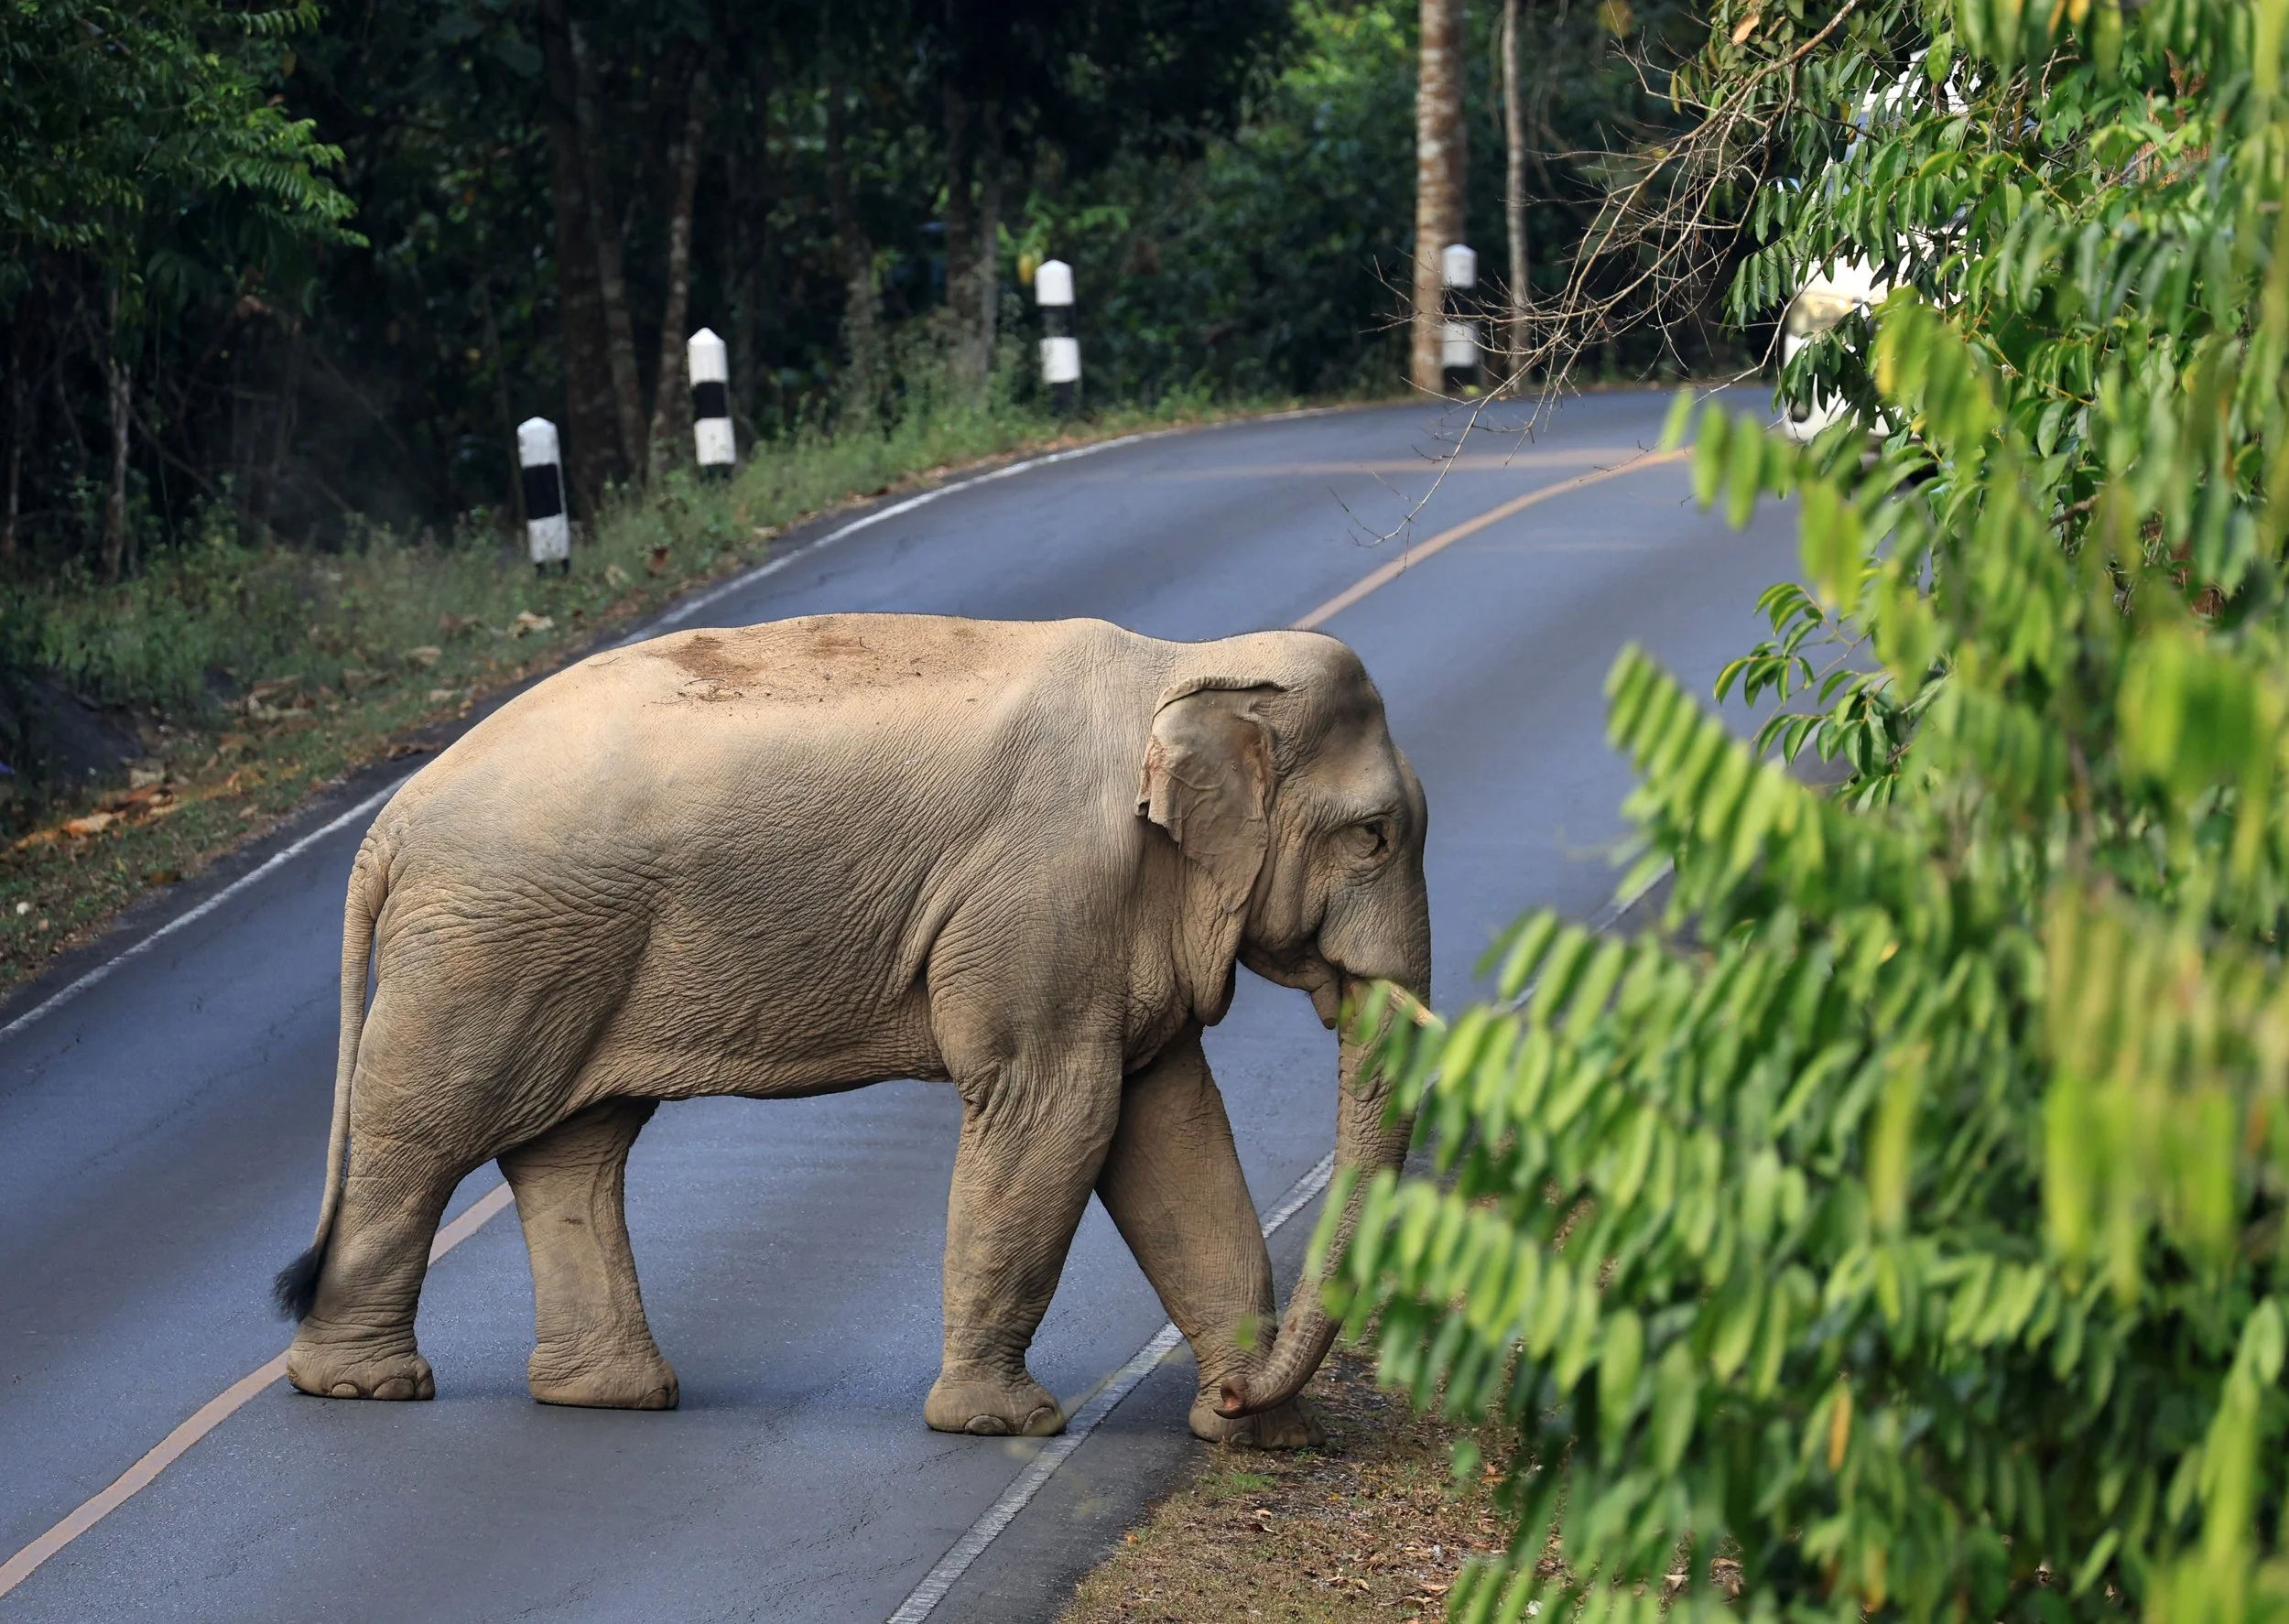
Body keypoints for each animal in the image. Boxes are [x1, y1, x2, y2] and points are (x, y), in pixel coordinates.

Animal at [274, 612, 1430, 1447]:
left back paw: (608, 1395)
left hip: (558, 945)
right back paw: (365, 1386)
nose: (1242, 1397)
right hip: (489, 950)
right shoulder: (1045, 898)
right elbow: (1054, 1110)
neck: (1192, 662)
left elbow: (1169, 1130)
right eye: (1375, 836)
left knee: (571, 1148)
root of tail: (392, 819)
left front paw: (1264, 1434)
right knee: (425, 1136)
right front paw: (1002, 1424)